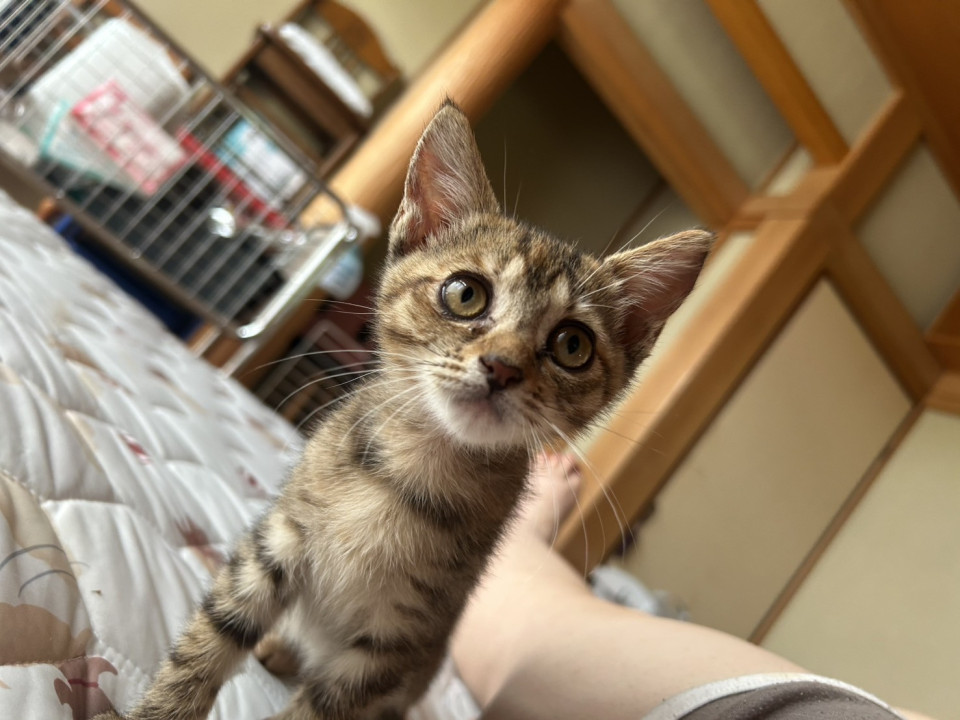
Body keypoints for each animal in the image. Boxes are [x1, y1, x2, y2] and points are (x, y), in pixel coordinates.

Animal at [95, 100, 712, 720]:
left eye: (572, 346)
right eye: (465, 294)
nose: (502, 367)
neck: (411, 470)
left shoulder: (396, 643)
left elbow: (316, 710)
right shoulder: (276, 545)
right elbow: (208, 641)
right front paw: (161, 708)